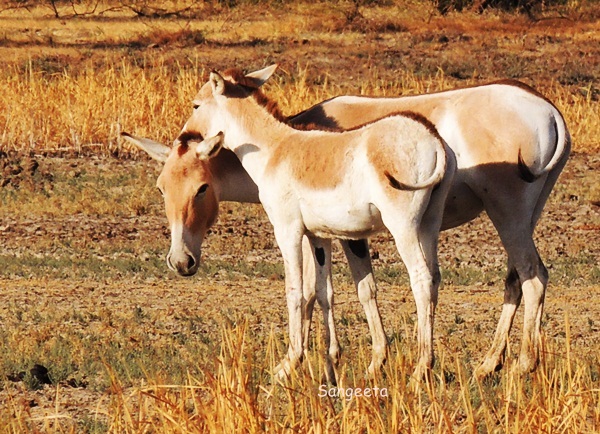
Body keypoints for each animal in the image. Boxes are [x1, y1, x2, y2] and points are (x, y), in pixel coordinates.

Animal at [173, 66, 455, 380]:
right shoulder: (319, 236)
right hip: (429, 225)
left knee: (421, 278)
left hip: (403, 226)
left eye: (196, 105)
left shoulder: (287, 231)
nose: (183, 140)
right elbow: (323, 292)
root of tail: (431, 137)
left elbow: (295, 291)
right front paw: (331, 361)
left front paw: (288, 364)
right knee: (434, 278)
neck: (274, 149)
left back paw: (421, 369)